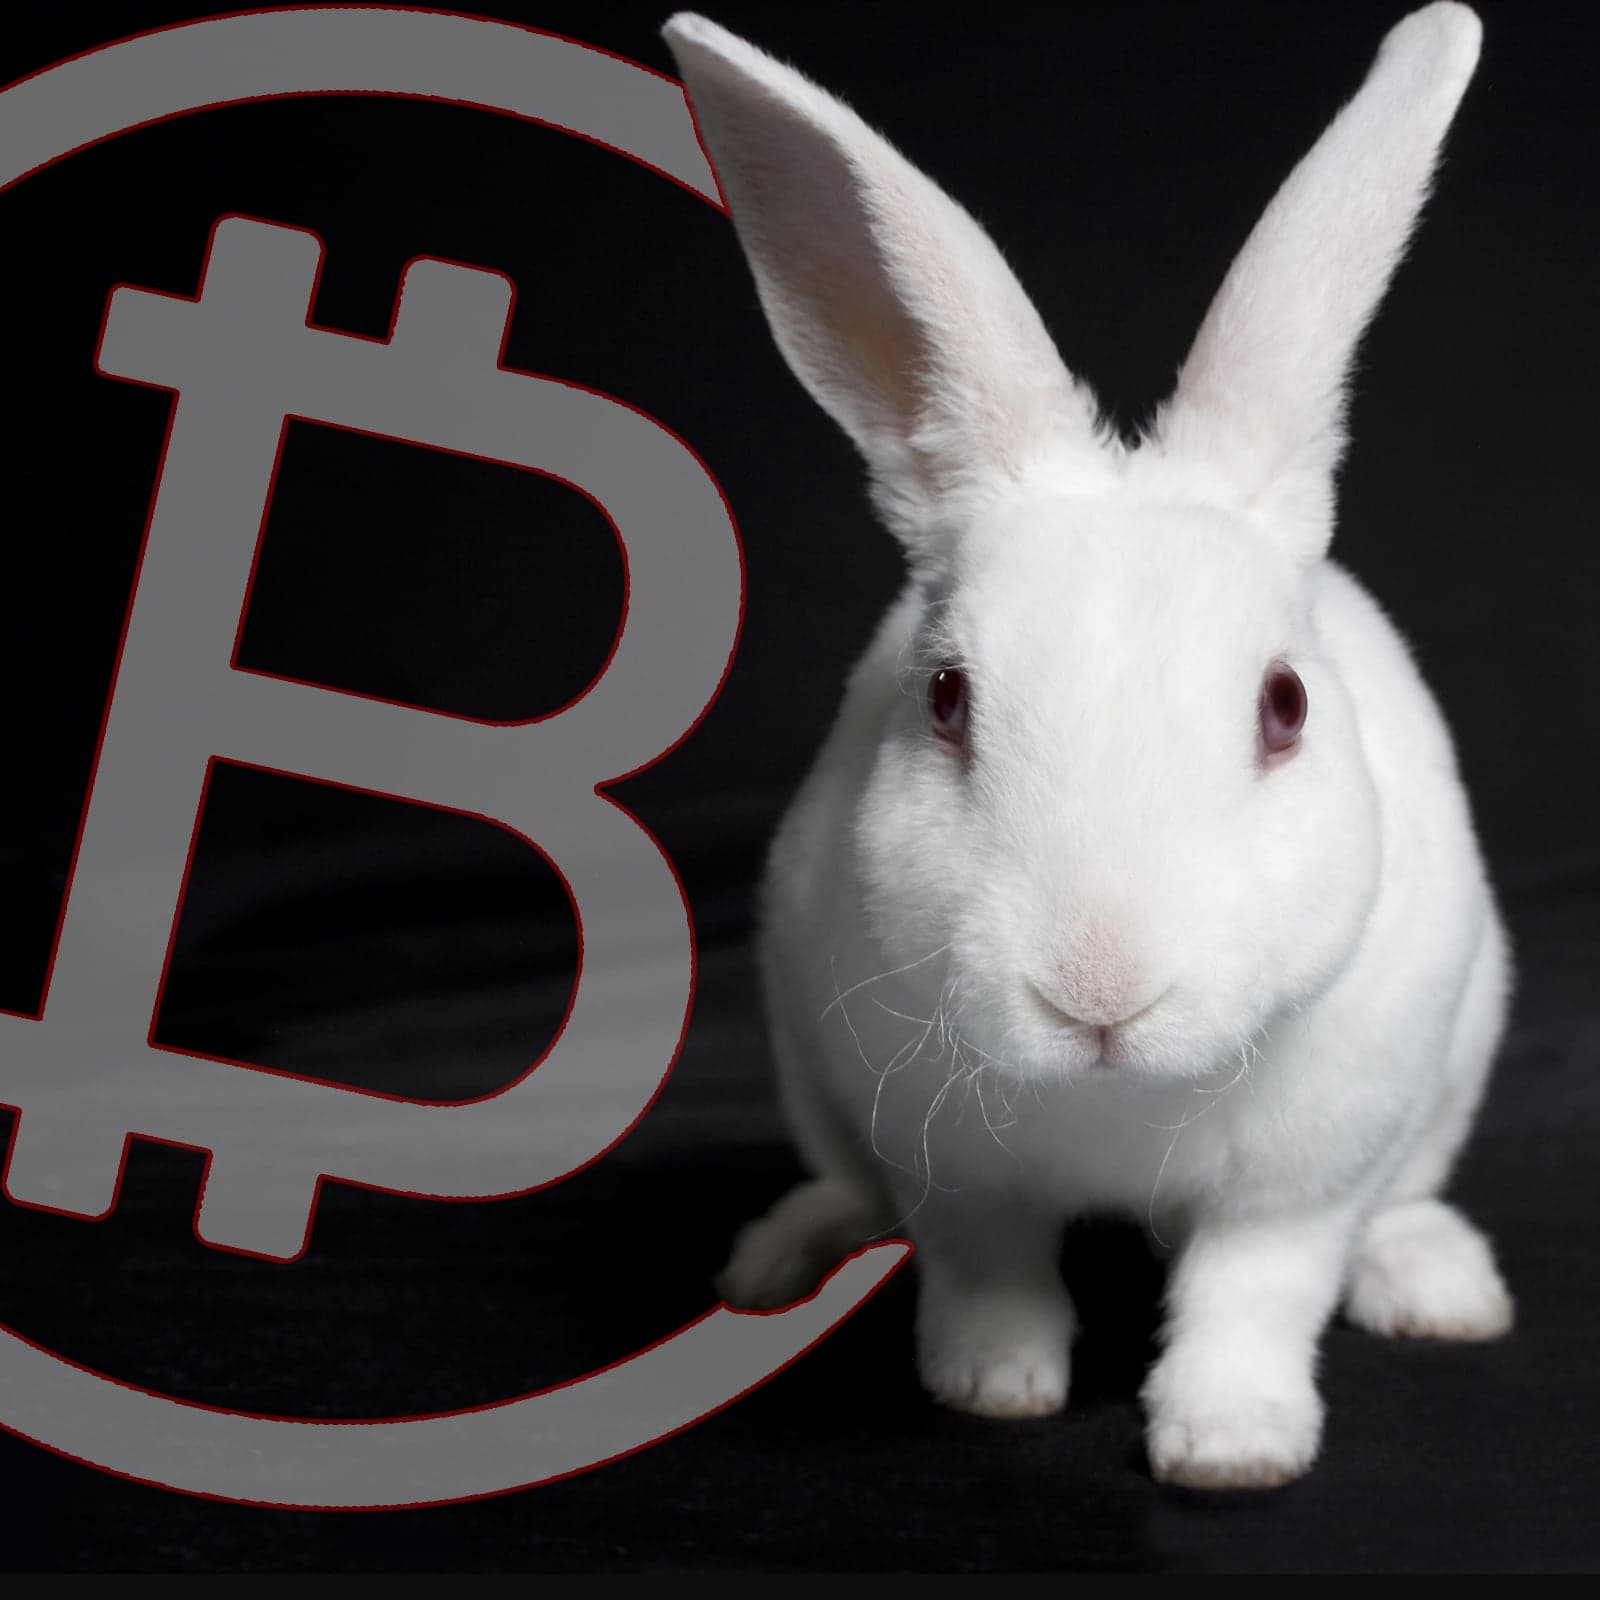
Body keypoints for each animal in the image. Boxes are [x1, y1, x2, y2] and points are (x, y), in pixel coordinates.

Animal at [664, 3, 1511, 1490]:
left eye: (1284, 705)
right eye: (946, 698)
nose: (1097, 992)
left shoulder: (1306, 1175)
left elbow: (1255, 1290)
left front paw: (1230, 1445)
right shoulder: (950, 1172)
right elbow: (986, 1272)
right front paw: (992, 1387)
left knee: (1395, 1210)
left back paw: (1438, 1286)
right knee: (844, 1186)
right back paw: (779, 1260)